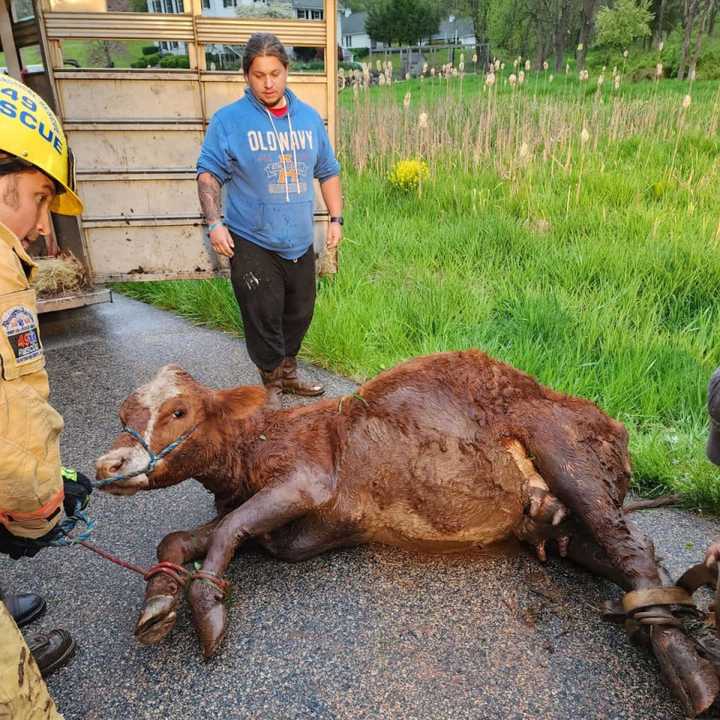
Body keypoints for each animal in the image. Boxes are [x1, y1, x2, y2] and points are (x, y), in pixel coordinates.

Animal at [95, 352, 720, 716]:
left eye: (178, 411)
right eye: (123, 413)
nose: (108, 464)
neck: (250, 452)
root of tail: (612, 423)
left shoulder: (306, 481)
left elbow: (227, 530)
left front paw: (206, 610)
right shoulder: (283, 524)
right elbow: (180, 538)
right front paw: (159, 600)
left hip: (568, 453)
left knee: (636, 551)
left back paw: (695, 680)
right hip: (556, 526)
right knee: (637, 558)